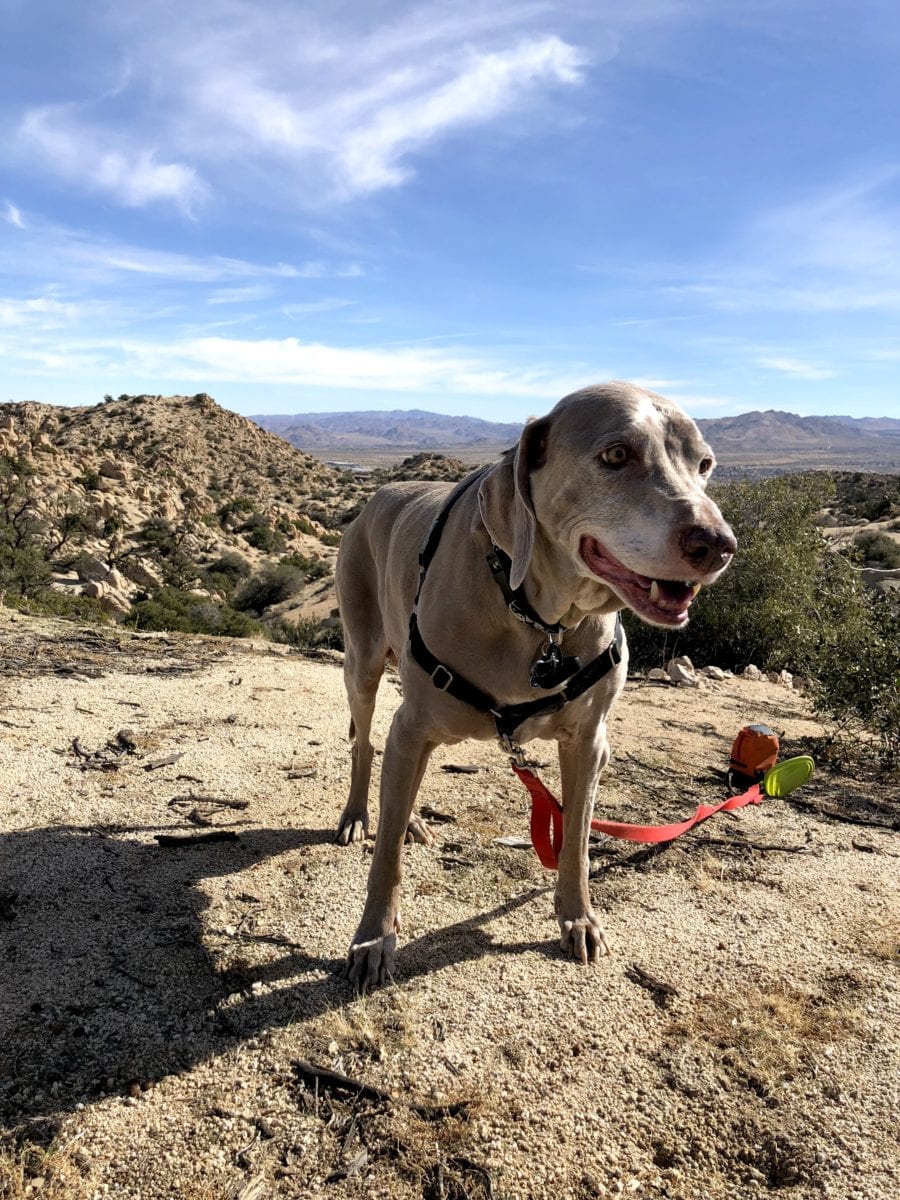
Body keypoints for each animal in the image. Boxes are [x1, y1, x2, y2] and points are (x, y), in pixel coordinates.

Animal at [336, 379, 734, 988]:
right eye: (616, 454)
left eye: (705, 464)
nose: (717, 544)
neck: (537, 616)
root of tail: (378, 494)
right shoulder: (413, 724)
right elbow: (386, 863)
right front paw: (373, 940)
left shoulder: (589, 741)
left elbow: (576, 839)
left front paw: (578, 919)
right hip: (363, 658)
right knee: (364, 742)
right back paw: (360, 816)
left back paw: (411, 822)